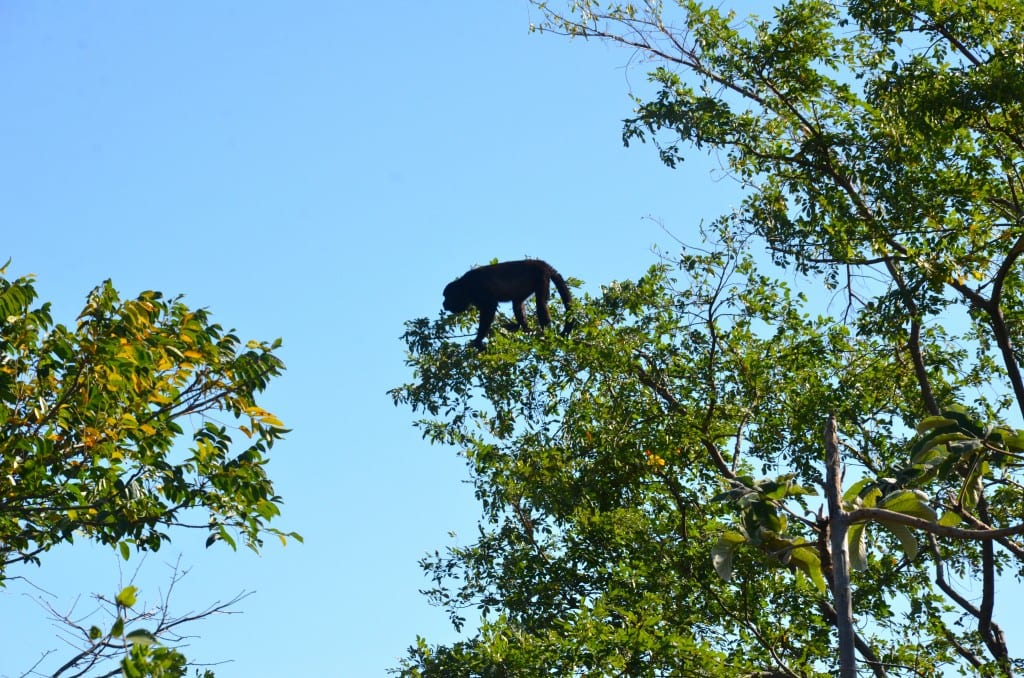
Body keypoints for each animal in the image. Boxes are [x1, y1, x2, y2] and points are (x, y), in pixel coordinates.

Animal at [443, 259, 573, 348]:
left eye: (447, 296)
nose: (444, 303)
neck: (464, 287)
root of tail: (542, 264)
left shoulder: (476, 287)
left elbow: (490, 306)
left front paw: (478, 340)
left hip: (541, 277)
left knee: (540, 303)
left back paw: (545, 334)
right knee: (517, 303)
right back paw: (523, 327)